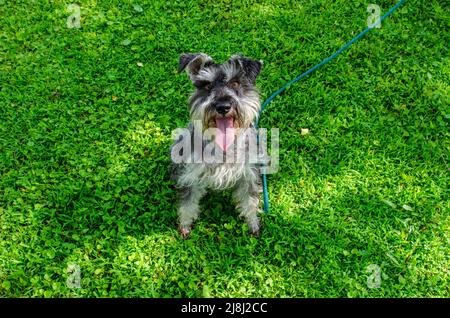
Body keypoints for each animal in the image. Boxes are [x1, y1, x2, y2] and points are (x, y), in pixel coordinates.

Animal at [171, 52, 264, 238]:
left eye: (235, 83)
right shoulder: (190, 176)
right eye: (207, 85)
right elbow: (187, 204)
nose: (223, 106)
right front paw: (185, 225)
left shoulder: (247, 174)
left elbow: (250, 201)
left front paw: (253, 223)